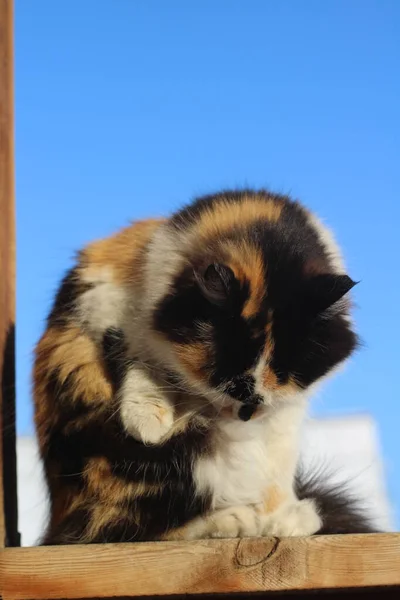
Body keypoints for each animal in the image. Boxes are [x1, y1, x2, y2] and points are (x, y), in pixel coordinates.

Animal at [32, 189, 376, 544]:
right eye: (225, 383)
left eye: (281, 377)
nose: (247, 413)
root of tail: (57, 526)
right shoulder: (101, 304)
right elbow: (138, 359)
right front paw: (148, 419)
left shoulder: (286, 414)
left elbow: (279, 466)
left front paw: (280, 520)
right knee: (123, 529)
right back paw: (233, 520)